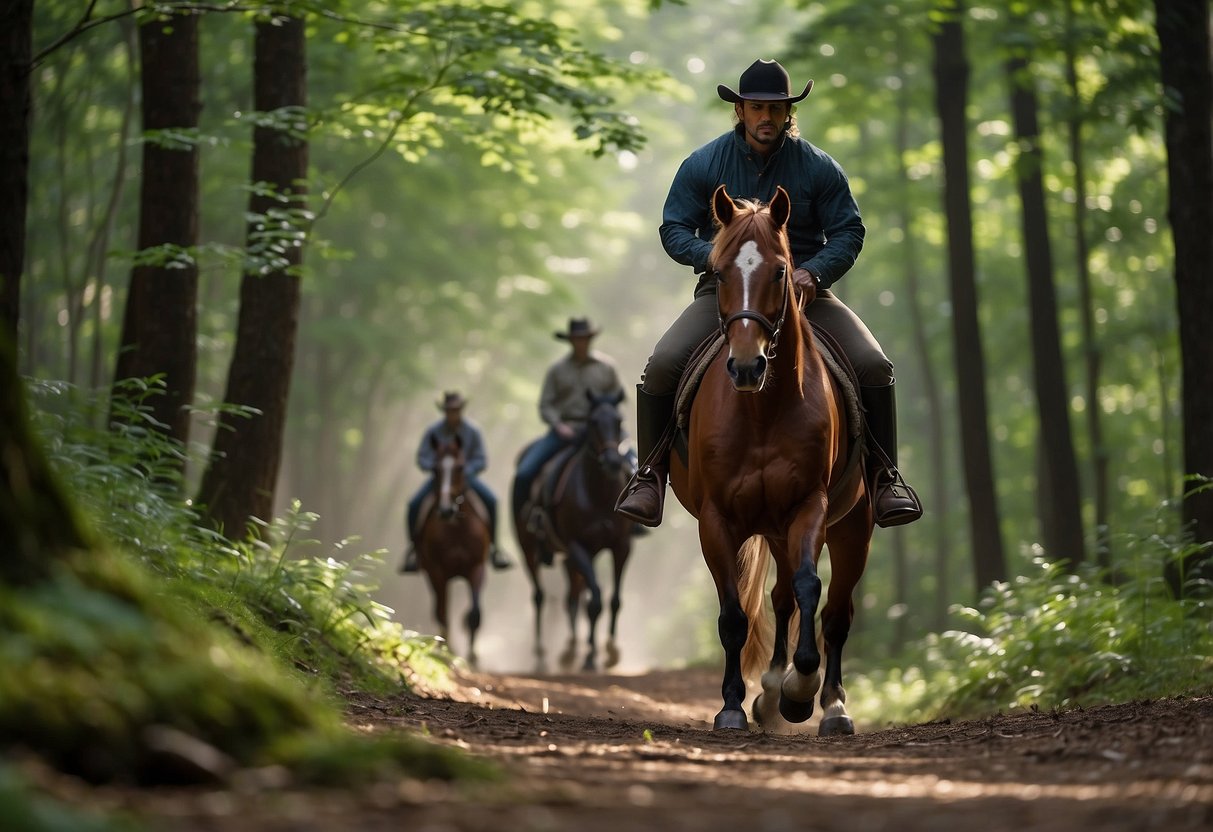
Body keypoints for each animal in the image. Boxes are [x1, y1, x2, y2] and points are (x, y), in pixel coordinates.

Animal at [414, 436, 490, 664]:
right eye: (435, 469)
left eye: (461, 467)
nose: (446, 510)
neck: (457, 528)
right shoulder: (437, 571)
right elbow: (442, 613)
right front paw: (445, 650)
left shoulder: (477, 568)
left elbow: (474, 614)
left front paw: (472, 655)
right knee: (439, 610)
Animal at [511, 395, 635, 674]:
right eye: (593, 422)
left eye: (619, 420)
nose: (613, 462)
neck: (598, 492)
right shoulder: (578, 546)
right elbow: (595, 601)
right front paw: (591, 657)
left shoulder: (621, 546)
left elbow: (614, 600)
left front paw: (611, 652)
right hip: (529, 548)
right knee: (540, 596)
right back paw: (542, 656)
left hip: (572, 559)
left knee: (572, 598)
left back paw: (569, 651)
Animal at [669, 184, 878, 737]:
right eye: (720, 272)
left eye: (782, 272)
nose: (747, 366)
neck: (762, 410)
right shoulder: (717, 519)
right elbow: (733, 615)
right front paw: (732, 707)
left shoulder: (809, 507)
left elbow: (810, 587)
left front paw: (800, 691)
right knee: (779, 599)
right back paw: (767, 692)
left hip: (851, 527)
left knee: (834, 612)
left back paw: (830, 706)